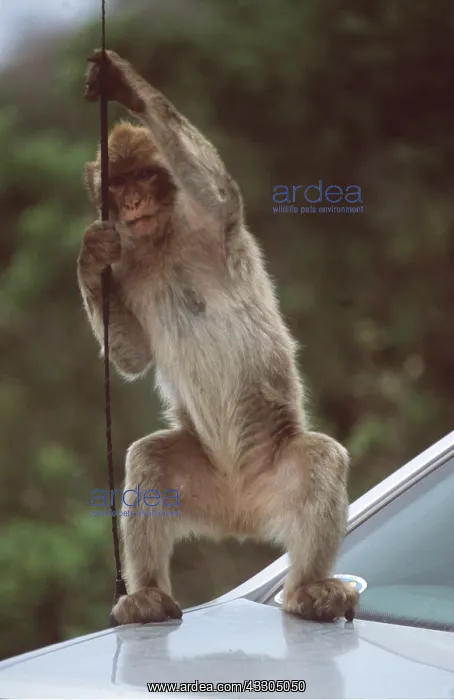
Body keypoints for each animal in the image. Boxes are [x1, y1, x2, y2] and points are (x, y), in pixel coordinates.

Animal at [78, 49, 359, 626]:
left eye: (146, 175)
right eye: (118, 185)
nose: (133, 201)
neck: (160, 242)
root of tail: (240, 509)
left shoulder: (208, 222)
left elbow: (217, 191)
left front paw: (124, 84)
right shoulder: (126, 264)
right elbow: (132, 357)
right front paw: (88, 256)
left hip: (277, 472)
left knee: (321, 458)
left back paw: (307, 589)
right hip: (202, 483)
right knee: (149, 459)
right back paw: (148, 595)